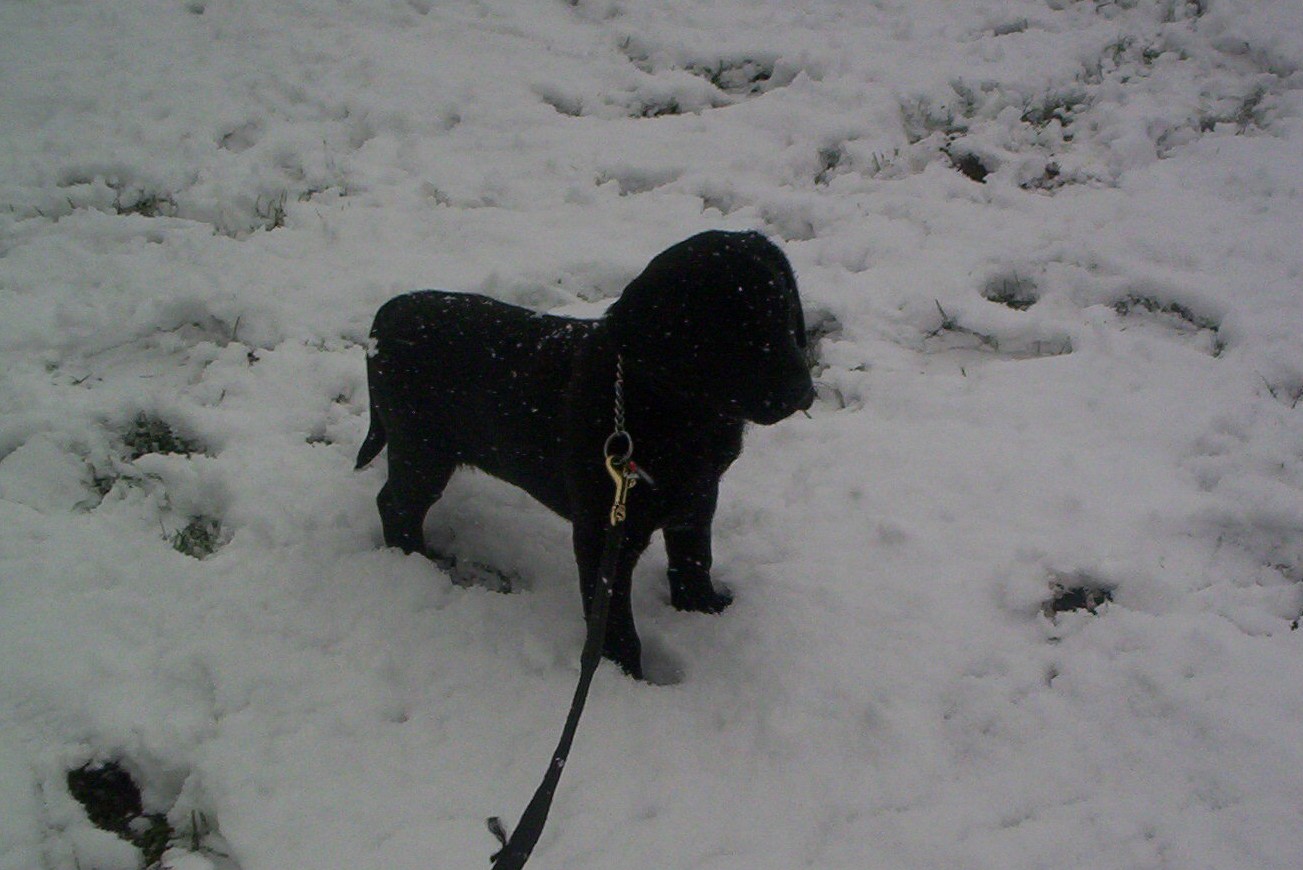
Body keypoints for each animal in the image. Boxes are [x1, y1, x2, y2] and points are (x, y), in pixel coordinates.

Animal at [351, 227, 807, 677]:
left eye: (785, 309)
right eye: (727, 330)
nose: (802, 390)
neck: (671, 411)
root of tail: (388, 314)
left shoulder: (697, 496)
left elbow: (694, 560)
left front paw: (703, 610)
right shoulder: (604, 532)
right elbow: (614, 619)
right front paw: (627, 677)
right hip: (421, 449)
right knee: (395, 504)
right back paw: (414, 560)